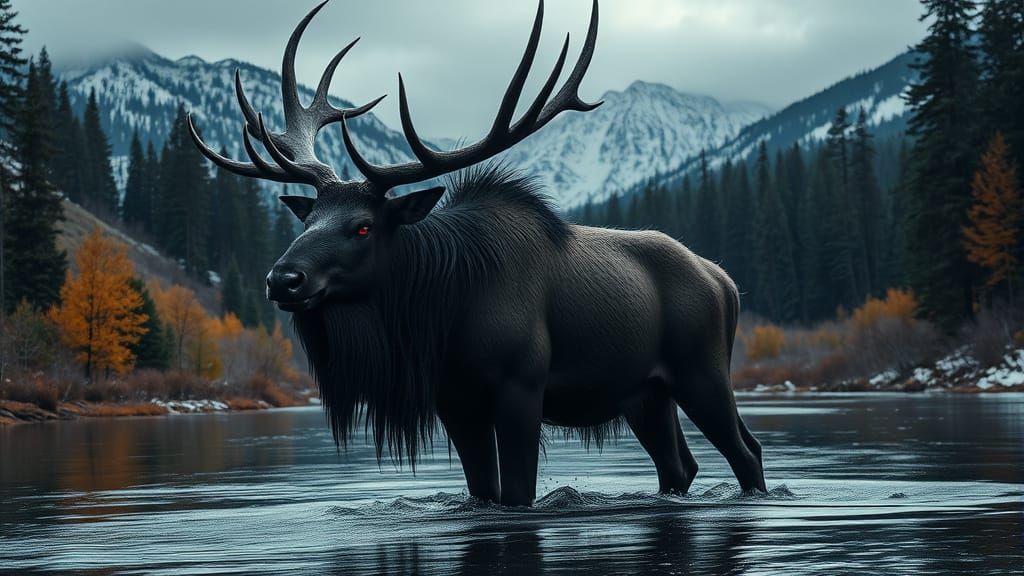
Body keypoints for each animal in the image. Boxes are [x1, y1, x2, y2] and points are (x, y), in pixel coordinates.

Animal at [189, 0, 766, 507]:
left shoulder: (521, 387)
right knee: (680, 466)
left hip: (702, 373)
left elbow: (517, 493)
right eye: (307, 221)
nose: (282, 279)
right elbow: (483, 490)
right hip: (644, 394)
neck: (443, 311)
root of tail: (726, 282)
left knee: (747, 451)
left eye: (363, 227)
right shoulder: (455, 402)